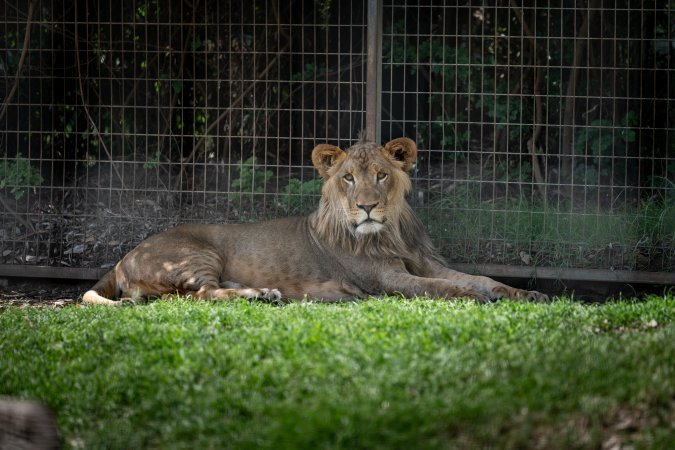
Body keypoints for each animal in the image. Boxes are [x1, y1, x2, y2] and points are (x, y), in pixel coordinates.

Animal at [83, 137, 547, 306]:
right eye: (348, 177)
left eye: (381, 175)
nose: (366, 206)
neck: (391, 234)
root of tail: (122, 258)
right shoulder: (385, 279)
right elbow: (440, 287)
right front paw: (475, 297)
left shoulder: (426, 262)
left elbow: (481, 278)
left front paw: (525, 294)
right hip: (194, 254)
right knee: (200, 294)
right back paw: (260, 295)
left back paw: (265, 292)